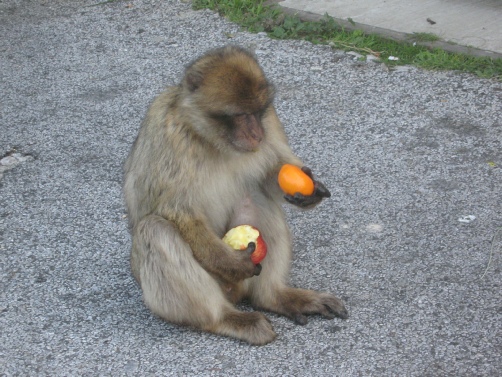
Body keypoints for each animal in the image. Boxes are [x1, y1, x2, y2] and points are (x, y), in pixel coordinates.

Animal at [123, 44, 348, 344]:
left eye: (257, 111)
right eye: (240, 115)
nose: (257, 133)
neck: (213, 141)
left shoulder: (271, 120)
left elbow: (271, 175)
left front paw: (309, 192)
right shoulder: (170, 135)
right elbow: (177, 212)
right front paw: (231, 263)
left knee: (257, 197)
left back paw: (274, 296)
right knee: (154, 229)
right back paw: (225, 319)